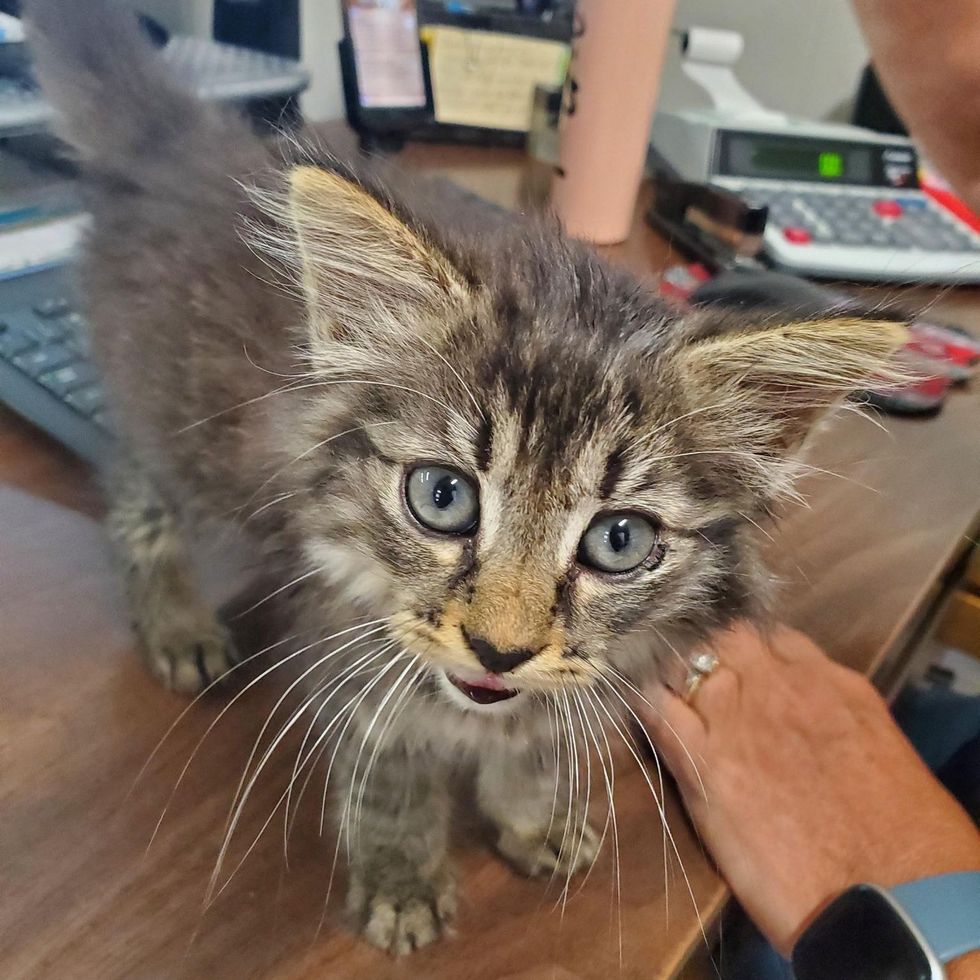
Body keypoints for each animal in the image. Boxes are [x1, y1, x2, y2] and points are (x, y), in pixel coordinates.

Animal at [26, 0, 908, 952]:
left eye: (619, 540)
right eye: (442, 498)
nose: (499, 649)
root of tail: (181, 140)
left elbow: (536, 739)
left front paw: (533, 815)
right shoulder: (345, 642)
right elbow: (387, 774)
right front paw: (402, 878)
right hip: (176, 430)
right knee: (136, 494)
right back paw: (177, 624)